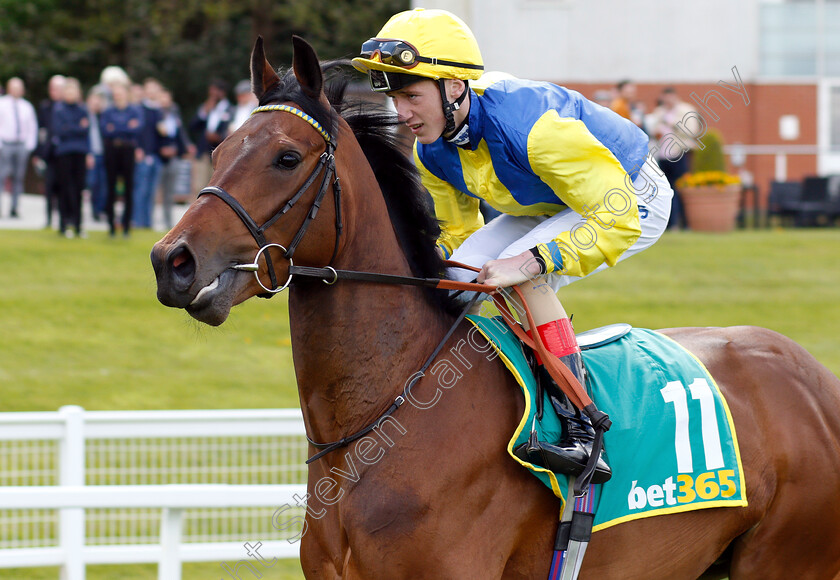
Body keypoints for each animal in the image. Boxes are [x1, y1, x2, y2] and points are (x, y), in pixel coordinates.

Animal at [151, 38, 840, 576]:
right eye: (216, 151)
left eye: (287, 157)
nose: (171, 261)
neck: (382, 421)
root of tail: (813, 376)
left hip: (787, 558)